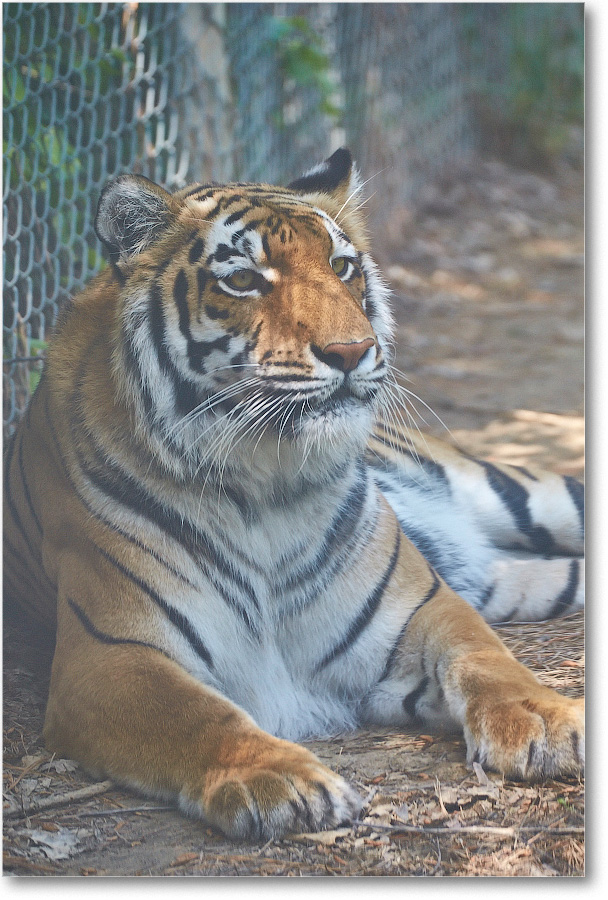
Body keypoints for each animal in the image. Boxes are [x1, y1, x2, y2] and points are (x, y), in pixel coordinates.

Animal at [4, 149, 584, 844]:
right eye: (243, 280)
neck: (266, 489)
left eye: (342, 267)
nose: (353, 351)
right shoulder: (110, 658)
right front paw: (278, 779)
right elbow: (198, 718)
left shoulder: (425, 608)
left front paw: (546, 722)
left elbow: (488, 658)